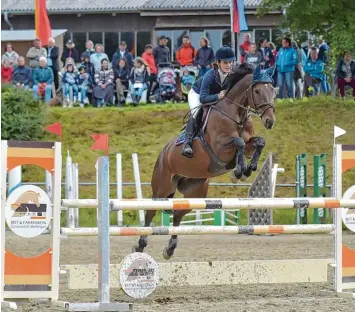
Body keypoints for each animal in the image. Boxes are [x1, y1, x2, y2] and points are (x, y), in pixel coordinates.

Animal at [134, 64, 278, 260]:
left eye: (273, 90)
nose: (270, 121)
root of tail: (163, 153)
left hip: (196, 190)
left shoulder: (248, 144)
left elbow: (258, 142)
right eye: (257, 91)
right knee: (150, 213)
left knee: (178, 214)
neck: (236, 114)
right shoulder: (219, 148)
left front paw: (246, 170)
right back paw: (140, 245)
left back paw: (169, 249)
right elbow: (239, 142)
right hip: (162, 188)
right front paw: (239, 171)